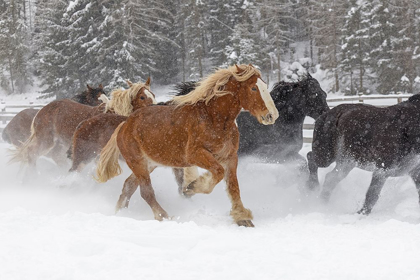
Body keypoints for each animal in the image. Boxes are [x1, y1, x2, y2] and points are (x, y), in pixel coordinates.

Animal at [11, 77, 156, 168]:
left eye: (153, 95)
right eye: (142, 97)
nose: (155, 110)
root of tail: (41, 112)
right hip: (46, 140)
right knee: (31, 153)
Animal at [95, 64, 278, 226]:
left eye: (264, 85)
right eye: (253, 88)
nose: (271, 115)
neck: (214, 119)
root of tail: (125, 124)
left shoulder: (230, 157)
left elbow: (233, 187)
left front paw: (242, 218)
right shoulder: (195, 155)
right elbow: (217, 172)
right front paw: (192, 186)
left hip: (149, 164)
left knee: (128, 186)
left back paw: (120, 213)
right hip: (137, 162)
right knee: (146, 192)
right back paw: (164, 216)